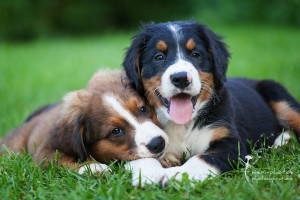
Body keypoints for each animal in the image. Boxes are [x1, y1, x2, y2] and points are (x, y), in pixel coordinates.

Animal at [0, 69, 169, 173]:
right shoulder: (44, 151)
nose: (158, 143)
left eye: (143, 109)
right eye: (116, 131)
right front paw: (94, 168)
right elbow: (60, 160)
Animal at [122, 20, 300, 186]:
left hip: (276, 93)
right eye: (159, 57)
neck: (182, 126)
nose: (181, 78)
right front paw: (149, 174)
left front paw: (174, 176)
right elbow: (140, 156)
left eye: (196, 55)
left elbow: (200, 160)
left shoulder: (231, 144)